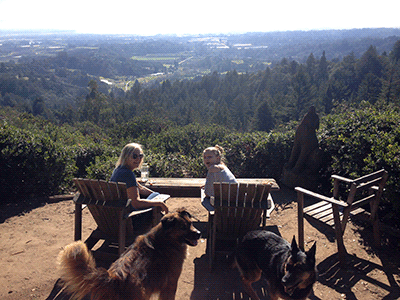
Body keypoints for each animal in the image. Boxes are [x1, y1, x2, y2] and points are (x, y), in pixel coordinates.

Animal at [57, 209, 202, 300]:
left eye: (191, 223)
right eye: (183, 227)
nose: (199, 234)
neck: (166, 239)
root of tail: (113, 278)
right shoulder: (170, 284)